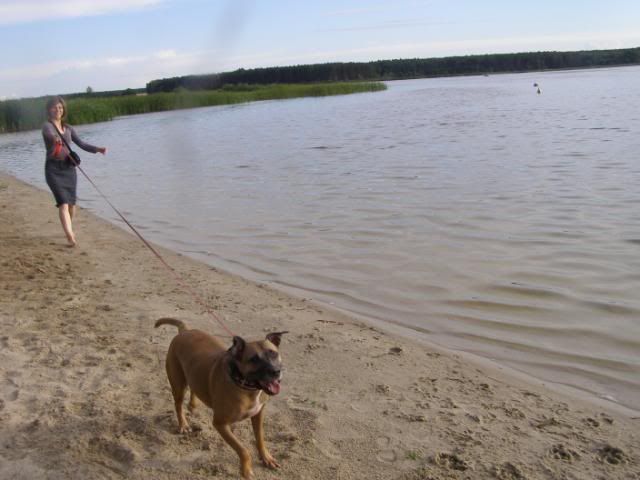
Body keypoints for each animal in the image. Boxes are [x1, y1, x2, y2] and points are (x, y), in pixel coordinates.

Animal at [155, 317, 287, 479]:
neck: (245, 385)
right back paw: (184, 425)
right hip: (179, 384)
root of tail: (185, 331)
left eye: (273, 353)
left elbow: (260, 438)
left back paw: (193, 405)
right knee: (178, 405)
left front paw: (267, 458)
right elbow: (243, 450)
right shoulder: (220, 424)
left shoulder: (258, 414)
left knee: (194, 386)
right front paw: (246, 470)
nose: (275, 371)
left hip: (194, 373)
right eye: (254, 359)